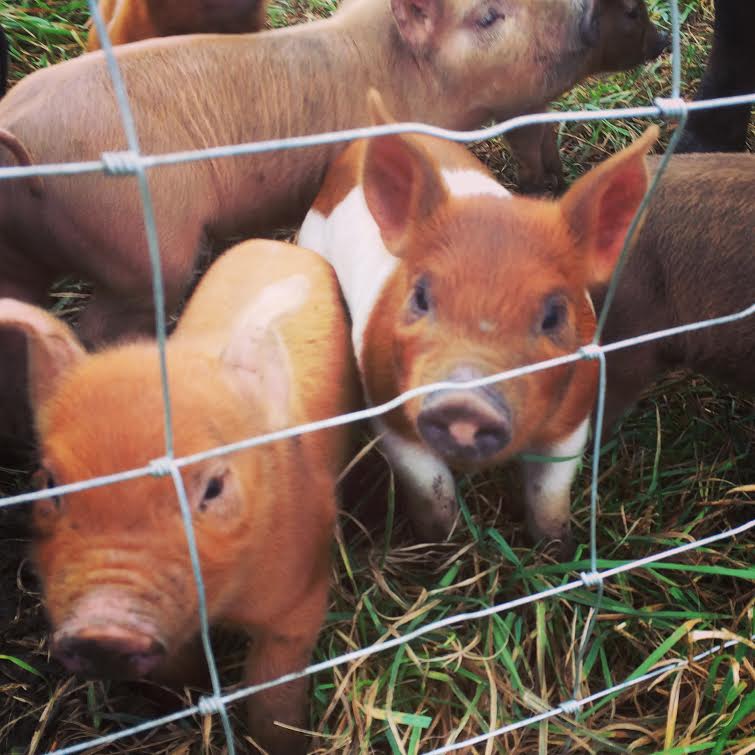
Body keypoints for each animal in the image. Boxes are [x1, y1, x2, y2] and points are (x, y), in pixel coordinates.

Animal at [0, 238, 358, 754]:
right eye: (48, 482)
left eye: (215, 487)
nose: (102, 629)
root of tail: (278, 244)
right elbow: (178, 672)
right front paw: (180, 702)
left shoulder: (300, 597)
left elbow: (274, 689)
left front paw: (282, 743)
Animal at [298, 91, 659, 554]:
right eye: (420, 296)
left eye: (553, 314)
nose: (463, 402)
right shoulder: (388, 408)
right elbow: (432, 490)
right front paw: (440, 545)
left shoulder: (574, 418)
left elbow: (550, 495)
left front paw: (556, 548)